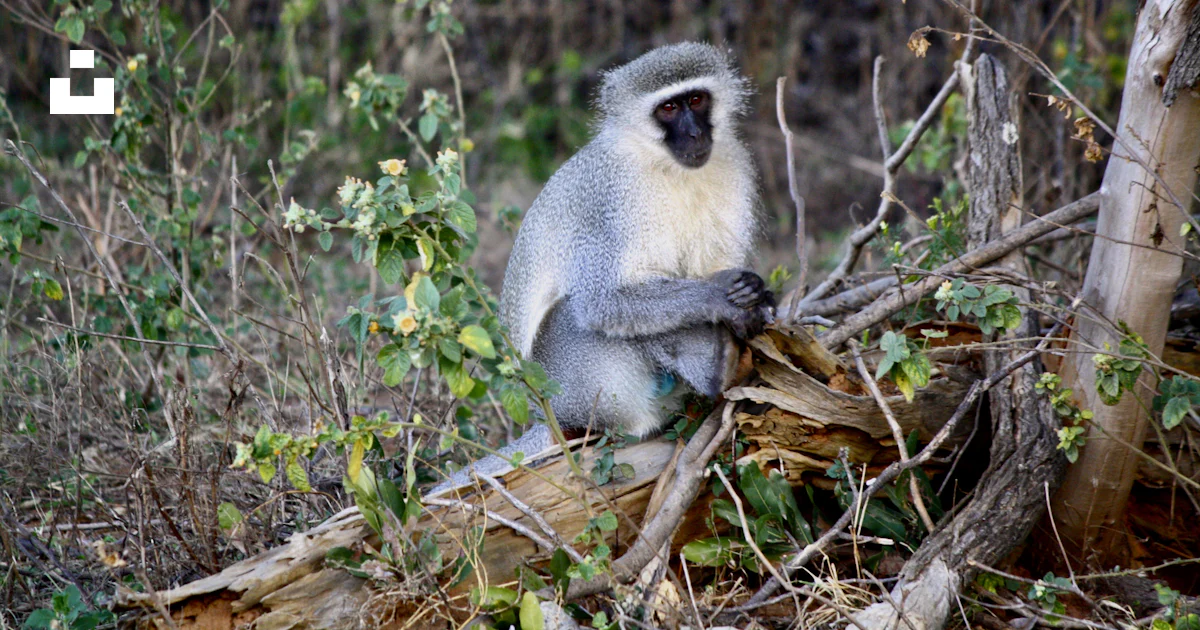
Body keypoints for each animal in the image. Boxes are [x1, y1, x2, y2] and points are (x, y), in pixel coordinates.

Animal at [427, 42, 772, 497]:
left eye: (697, 100)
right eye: (668, 109)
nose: (696, 134)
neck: (664, 166)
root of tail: (546, 418)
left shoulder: (732, 168)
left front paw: (751, 300)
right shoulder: (609, 201)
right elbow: (601, 302)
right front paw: (724, 298)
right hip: (569, 384)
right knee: (584, 316)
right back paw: (712, 367)